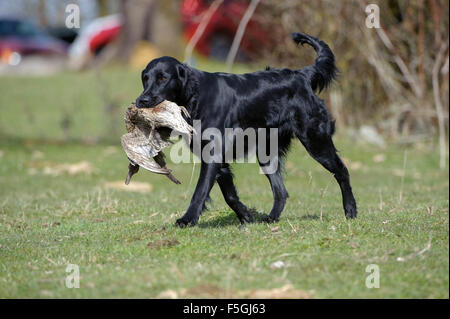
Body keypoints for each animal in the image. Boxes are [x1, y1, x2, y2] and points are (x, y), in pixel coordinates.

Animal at [137, 31, 358, 228]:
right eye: (145, 78)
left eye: (163, 78)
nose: (142, 100)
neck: (196, 97)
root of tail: (302, 75)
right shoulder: (219, 160)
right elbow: (230, 195)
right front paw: (246, 216)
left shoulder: (213, 155)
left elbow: (200, 191)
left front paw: (187, 219)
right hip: (267, 153)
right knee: (281, 192)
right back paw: (271, 219)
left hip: (315, 140)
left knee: (342, 171)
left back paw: (350, 210)